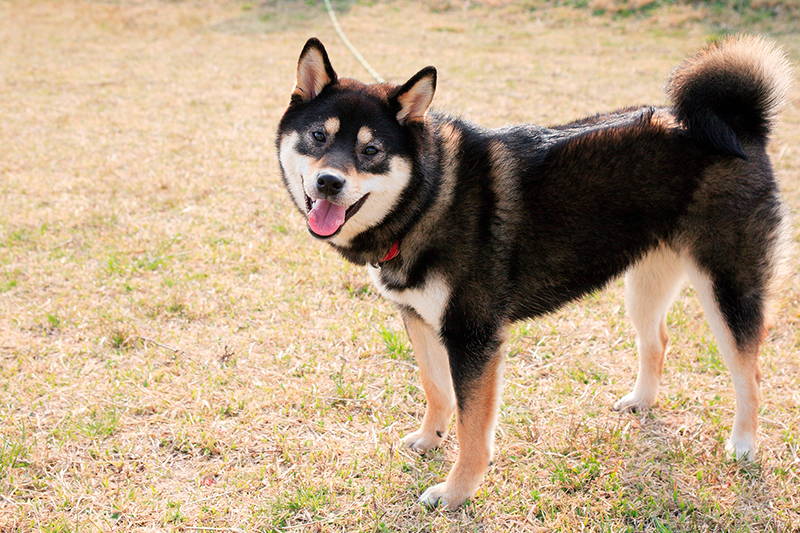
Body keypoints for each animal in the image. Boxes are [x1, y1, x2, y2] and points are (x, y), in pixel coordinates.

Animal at [276, 35, 792, 510]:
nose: (329, 182)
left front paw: (455, 492)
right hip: (644, 284)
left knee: (750, 373)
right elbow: (436, 390)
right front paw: (429, 439)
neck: (429, 197)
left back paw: (743, 444)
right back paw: (641, 402)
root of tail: (741, 126)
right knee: (658, 340)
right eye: (319, 137)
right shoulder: (419, 319)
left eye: (372, 151)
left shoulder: (474, 336)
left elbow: (472, 428)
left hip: (727, 287)